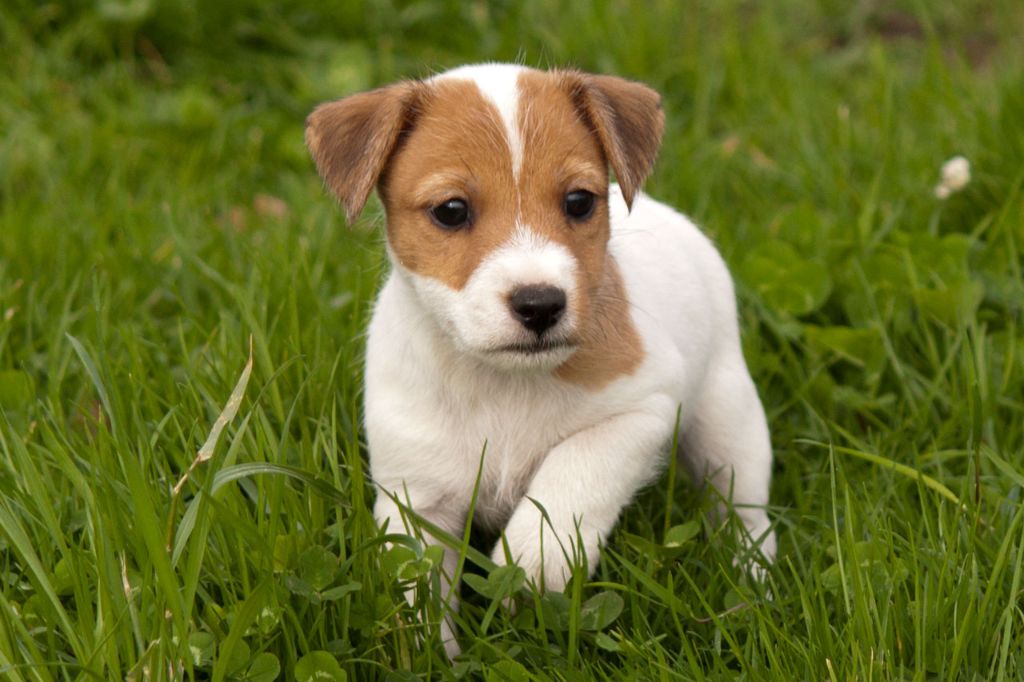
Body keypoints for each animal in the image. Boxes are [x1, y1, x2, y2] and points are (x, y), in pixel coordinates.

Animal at [306, 63, 776, 656]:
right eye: (451, 211)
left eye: (579, 201)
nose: (540, 304)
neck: (503, 382)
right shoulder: (415, 497)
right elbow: (418, 591)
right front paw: (434, 658)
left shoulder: (645, 408)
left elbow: (576, 468)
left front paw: (533, 559)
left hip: (729, 424)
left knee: (746, 517)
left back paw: (751, 590)